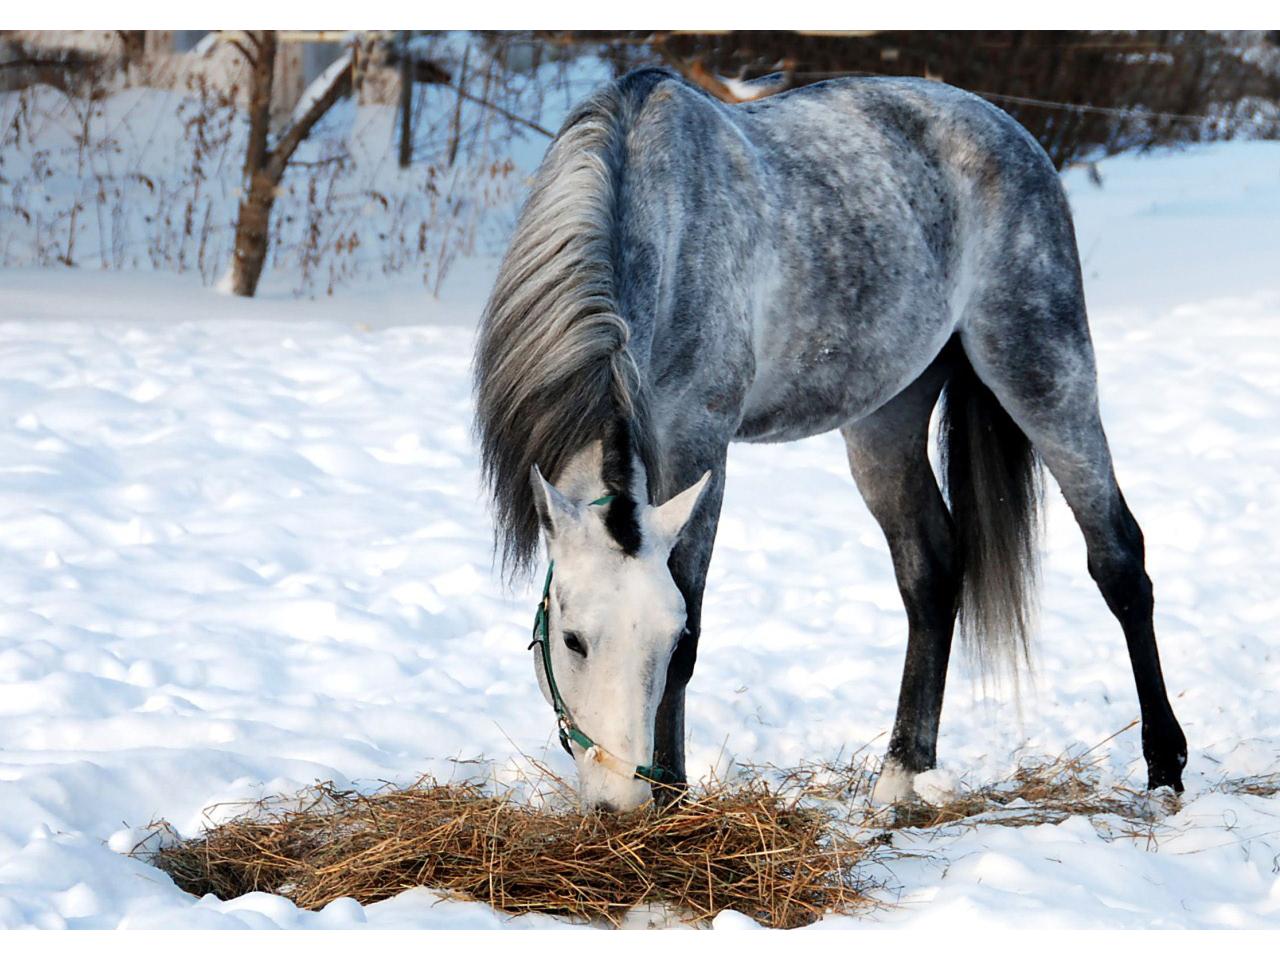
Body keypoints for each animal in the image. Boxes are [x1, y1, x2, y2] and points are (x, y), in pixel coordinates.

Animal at [473, 65, 1187, 814]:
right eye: (573, 640)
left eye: (665, 639)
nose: (619, 802)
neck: (646, 215)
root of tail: (1006, 129)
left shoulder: (699, 441)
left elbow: (693, 628)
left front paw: (672, 798)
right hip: (887, 415)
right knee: (931, 572)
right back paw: (903, 775)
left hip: (1042, 371)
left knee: (1118, 558)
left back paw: (1164, 768)